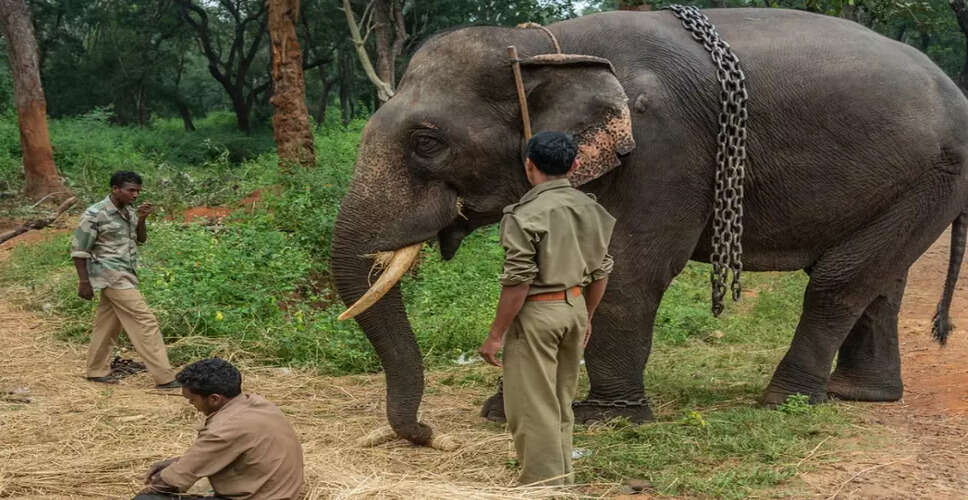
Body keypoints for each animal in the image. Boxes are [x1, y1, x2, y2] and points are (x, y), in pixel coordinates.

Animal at [330, 7, 968, 446]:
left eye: (427, 143)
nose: (424, 434)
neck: (548, 47)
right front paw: (502, 409)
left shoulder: (663, 147)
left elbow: (629, 273)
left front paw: (603, 420)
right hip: (918, 180)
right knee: (879, 281)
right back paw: (858, 394)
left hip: (939, 170)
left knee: (838, 281)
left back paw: (785, 403)